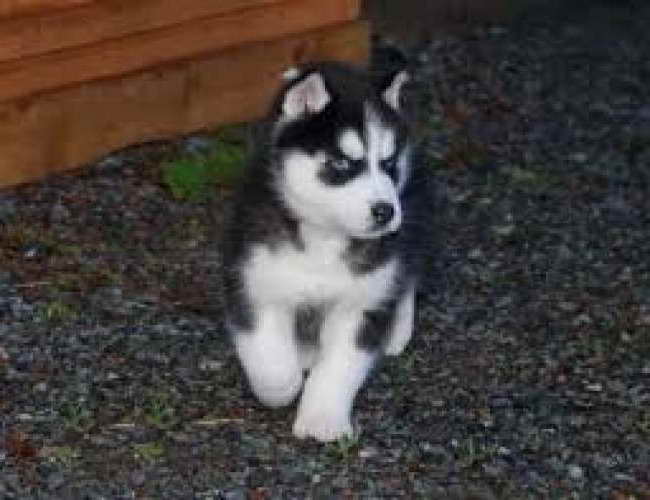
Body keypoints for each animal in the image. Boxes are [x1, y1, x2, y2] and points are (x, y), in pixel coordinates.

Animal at [223, 62, 430, 442]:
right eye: (342, 163)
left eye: (389, 163)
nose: (386, 210)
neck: (325, 239)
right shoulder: (254, 283)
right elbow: (268, 356)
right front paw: (282, 389)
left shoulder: (361, 306)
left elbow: (339, 367)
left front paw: (323, 419)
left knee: (408, 273)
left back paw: (398, 330)